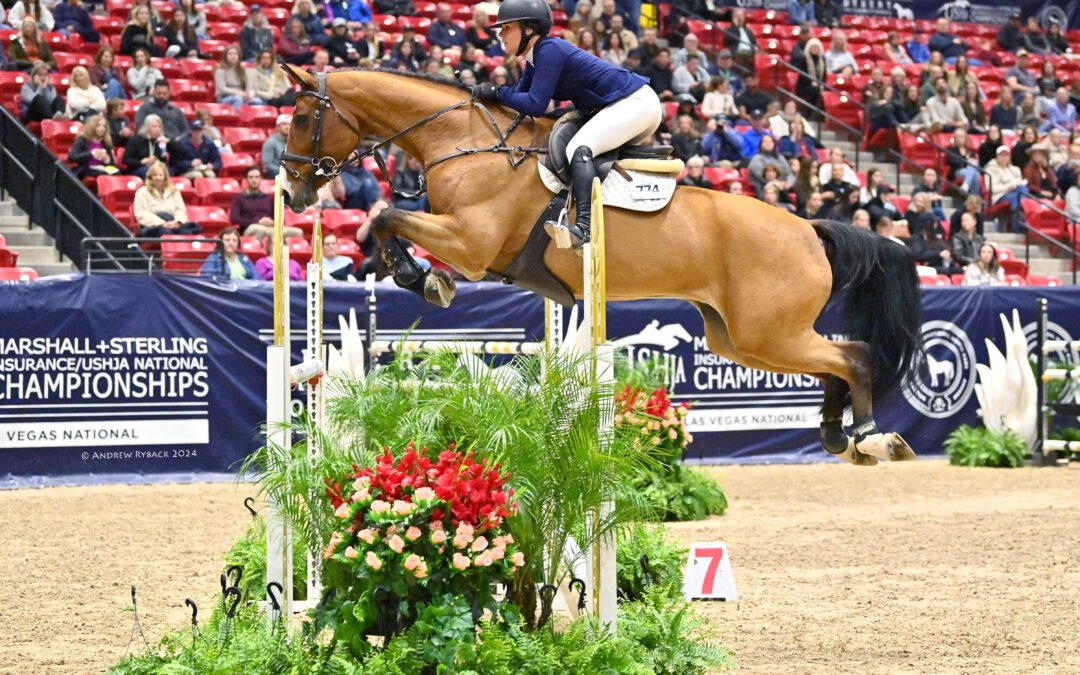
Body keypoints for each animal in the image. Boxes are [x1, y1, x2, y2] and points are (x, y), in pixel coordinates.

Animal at [276, 64, 923, 466]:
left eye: (302, 118)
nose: (293, 188)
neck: (462, 141)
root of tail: (809, 229)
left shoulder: (471, 244)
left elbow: (388, 215)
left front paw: (424, 279)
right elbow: (387, 219)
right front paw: (421, 276)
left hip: (769, 331)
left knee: (852, 356)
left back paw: (872, 439)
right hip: (741, 338)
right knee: (835, 362)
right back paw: (840, 435)